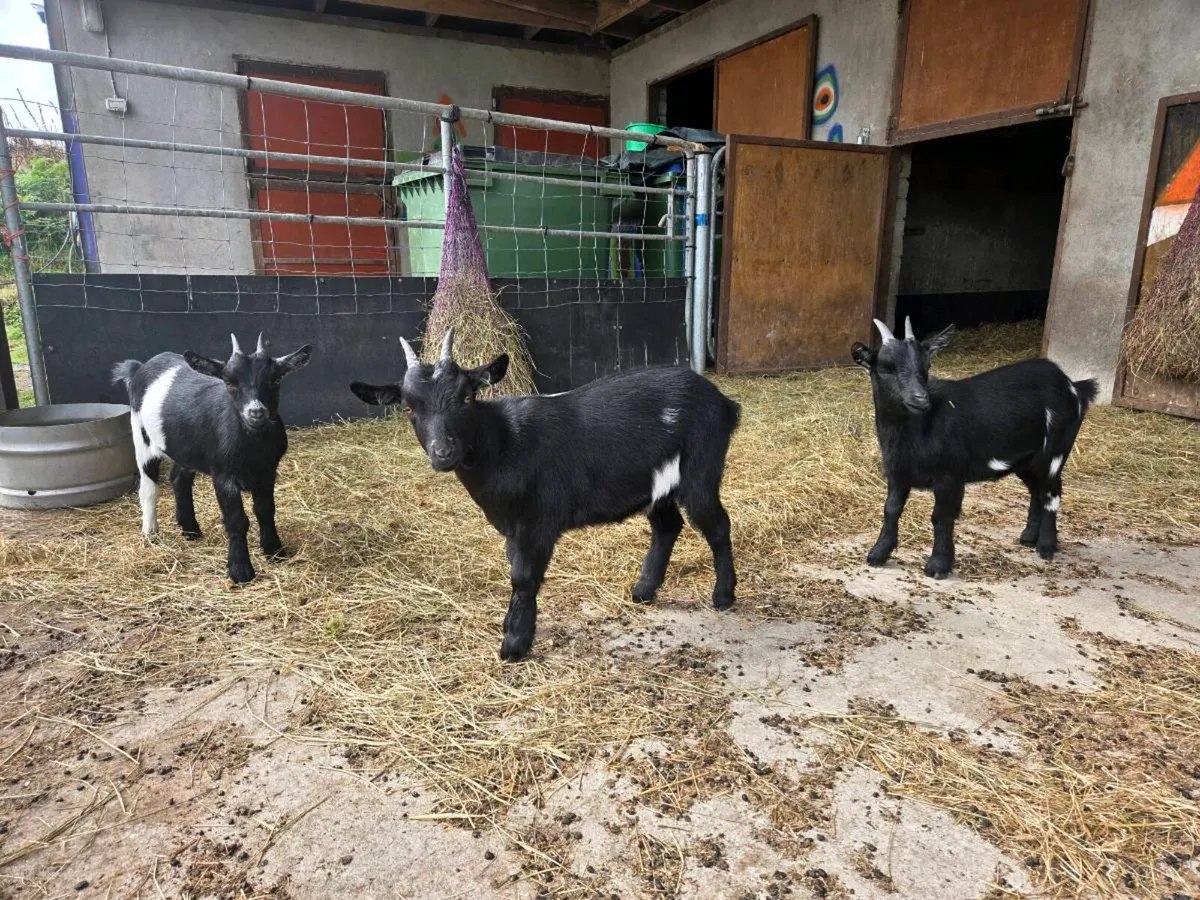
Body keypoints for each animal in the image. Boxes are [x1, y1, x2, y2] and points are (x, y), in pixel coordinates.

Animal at [112, 333, 312, 584]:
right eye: (230, 382)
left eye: (275, 380)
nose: (256, 412)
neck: (252, 446)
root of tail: (139, 367)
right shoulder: (223, 475)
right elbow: (237, 520)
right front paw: (240, 571)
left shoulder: (267, 472)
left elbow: (266, 511)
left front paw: (275, 551)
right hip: (142, 437)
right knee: (148, 487)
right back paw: (151, 533)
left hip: (185, 448)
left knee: (179, 479)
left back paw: (190, 530)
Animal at [350, 329, 741, 661]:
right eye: (409, 407)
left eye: (467, 397)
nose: (443, 452)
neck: (504, 443)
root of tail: (724, 403)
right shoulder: (513, 527)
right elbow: (516, 571)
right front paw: (511, 629)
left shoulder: (535, 522)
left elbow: (523, 577)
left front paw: (514, 644)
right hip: (654, 484)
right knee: (667, 526)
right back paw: (643, 591)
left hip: (700, 470)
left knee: (717, 525)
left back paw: (723, 596)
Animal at [851, 317, 1097, 579]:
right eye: (887, 367)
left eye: (927, 365)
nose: (920, 399)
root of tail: (1074, 387)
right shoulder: (897, 473)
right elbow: (891, 509)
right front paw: (878, 553)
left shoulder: (949, 476)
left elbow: (941, 516)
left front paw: (939, 565)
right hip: (1027, 460)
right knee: (1037, 491)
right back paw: (1029, 537)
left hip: (1054, 452)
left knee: (1052, 492)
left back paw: (1046, 546)